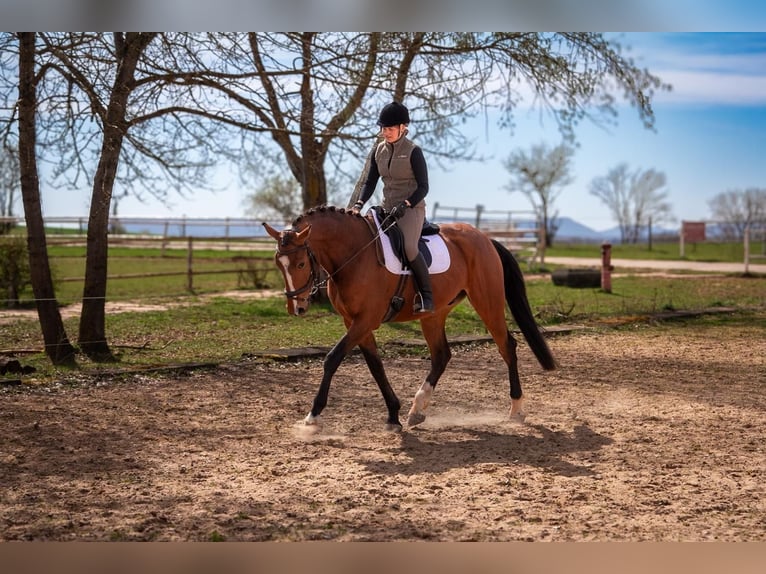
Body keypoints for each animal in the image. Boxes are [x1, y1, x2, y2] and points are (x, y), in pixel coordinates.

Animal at [263, 205, 557, 432]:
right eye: (278, 263)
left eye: (301, 263)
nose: (297, 307)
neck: (355, 254)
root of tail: (484, 238)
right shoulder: (355, 322)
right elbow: (376, 366)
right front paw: (393, 415)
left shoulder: (365, 320)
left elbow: (332, 359)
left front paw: (312, 416)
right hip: (434, 314)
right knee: (441, 355)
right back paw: (417, 410)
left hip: (488, 302)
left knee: (507, 346)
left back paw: (516, 409)